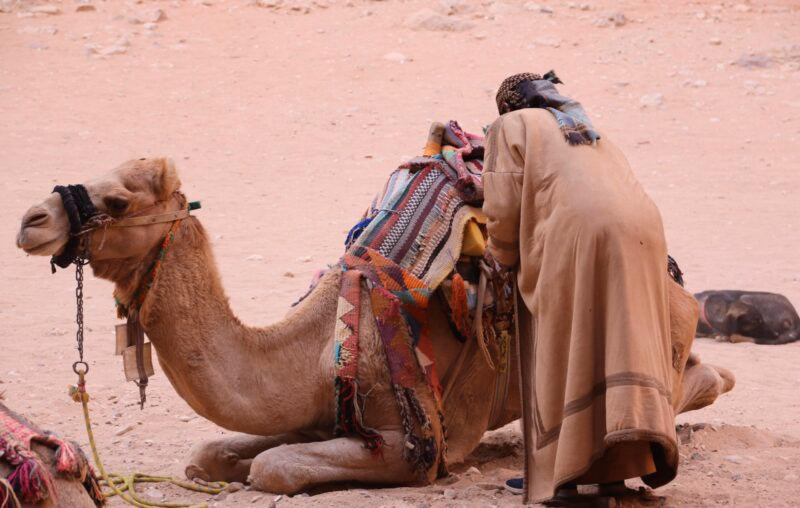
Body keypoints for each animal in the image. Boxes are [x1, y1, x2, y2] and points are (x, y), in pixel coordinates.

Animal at [15, 158, 734, 495]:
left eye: (117, 200)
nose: (29, 219)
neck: (309, 348)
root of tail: (672, 276)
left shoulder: (414, 440)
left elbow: (273, 467)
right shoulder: (319, 412)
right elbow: (214, 452)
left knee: (693, 382)